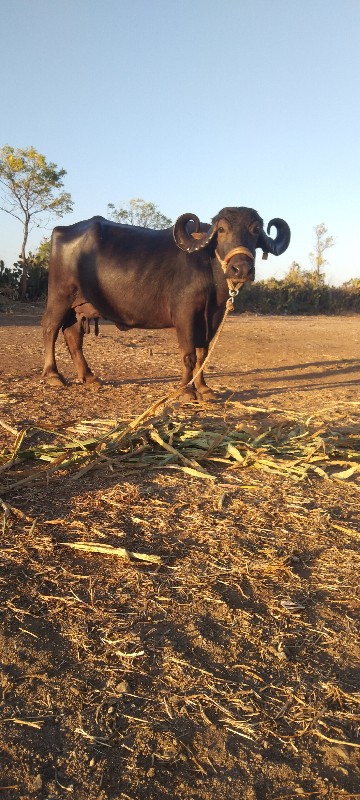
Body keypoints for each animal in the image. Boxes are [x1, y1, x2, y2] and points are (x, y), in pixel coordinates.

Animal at [41, 206, 290, 400]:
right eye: (221, 230)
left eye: (255, 230)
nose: (241, 269)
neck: (208, 268)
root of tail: (62, 230)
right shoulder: (185, 314)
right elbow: (189, 354)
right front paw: (186, 391)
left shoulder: (213, 316)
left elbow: (203, 353)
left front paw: (203, 388)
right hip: (60, 296)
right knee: (50, 328)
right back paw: (53, 375)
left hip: (79, 306)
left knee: (73, 336)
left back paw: (89, 377)